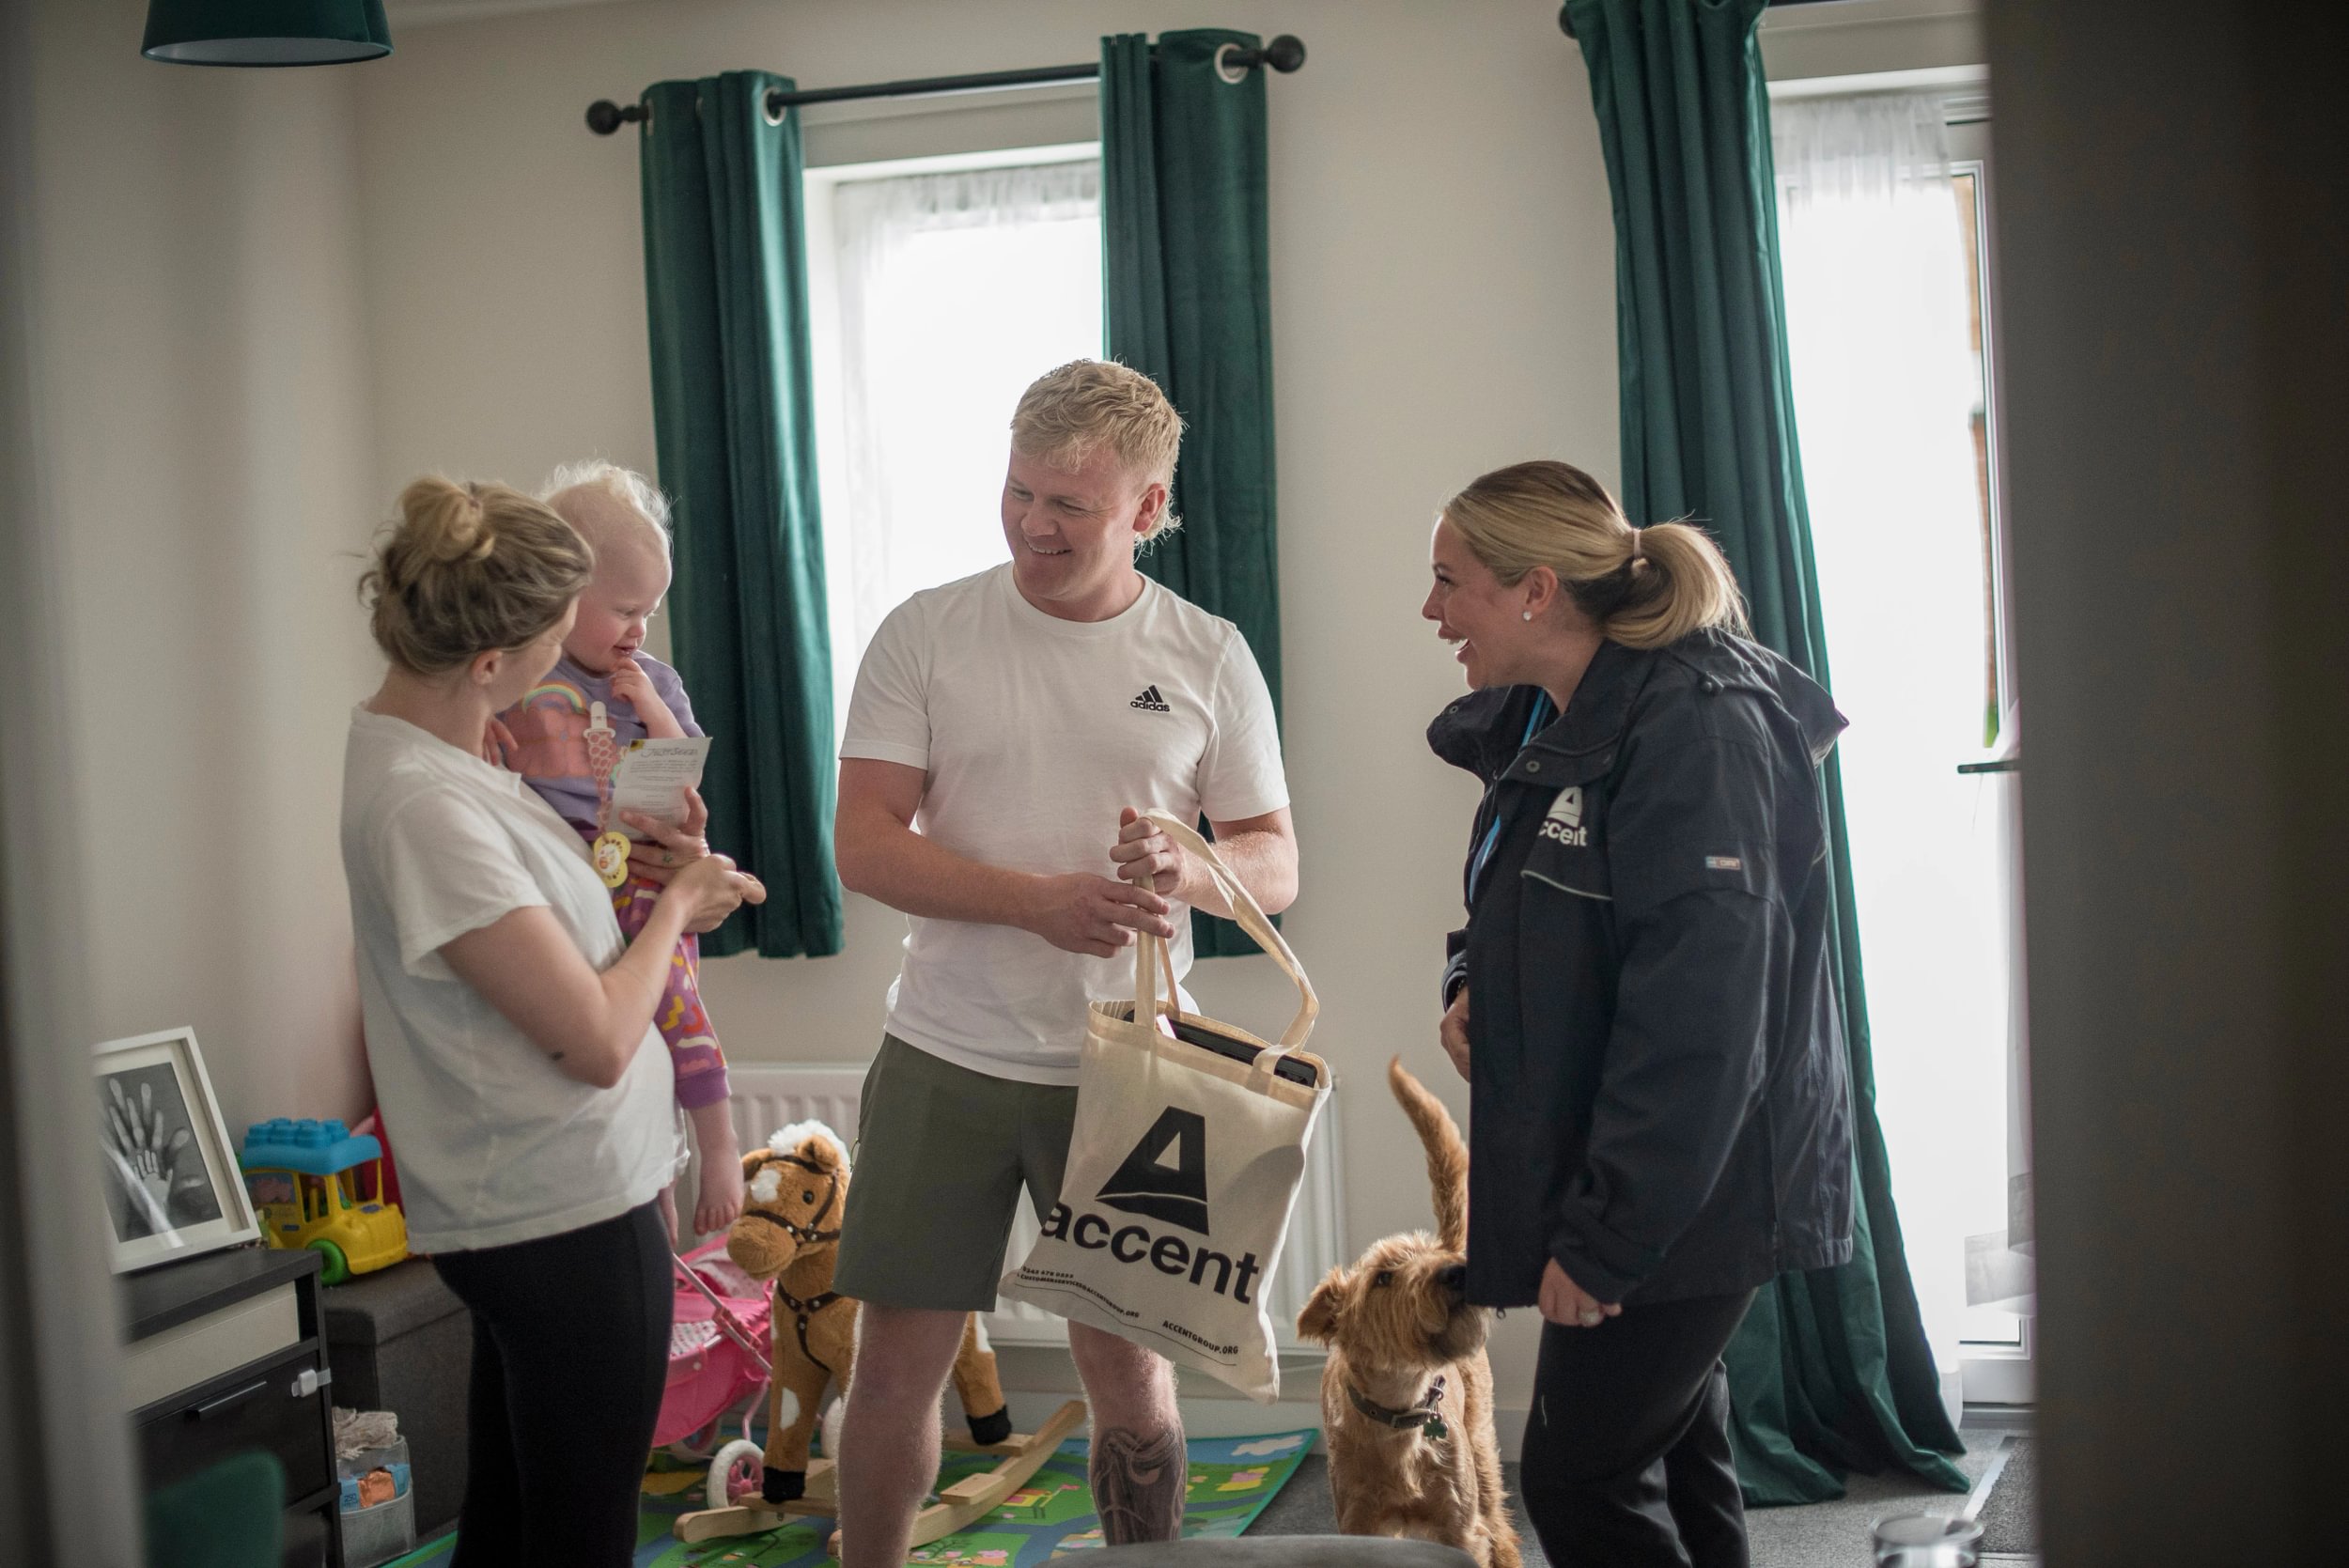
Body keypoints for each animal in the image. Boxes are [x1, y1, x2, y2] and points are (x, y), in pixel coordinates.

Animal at [719, 1122, 1005, 1502]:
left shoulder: (848, 1358)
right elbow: (787, 1419)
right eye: (752, 1192)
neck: (810, 1298)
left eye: (807, 1196)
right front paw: (779, 1487)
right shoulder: (791, 1361)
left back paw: (994, 1429)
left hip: (966, 1329)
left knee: (978, 1364)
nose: (746, 1246)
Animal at [1297, 1061, 1513, 1559]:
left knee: (1502, 1526)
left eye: (1428, 1254)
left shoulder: (1461, 1528)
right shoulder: (1359, 1525)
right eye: (1382, 1277)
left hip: (1482, 1449)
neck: (1400, 1406)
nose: (1456, 1272)